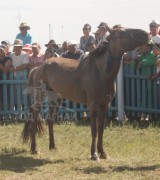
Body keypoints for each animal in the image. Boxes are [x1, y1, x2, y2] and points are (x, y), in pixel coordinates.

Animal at [21, 27, 149, 161]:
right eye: (122, 32)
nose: (146, 34)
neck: (100, 72)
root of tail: (38, 67)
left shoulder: (105, 106)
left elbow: (101, 129)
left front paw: (103, 153)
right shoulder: (93, 106)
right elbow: (94, 130)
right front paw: (94, 154)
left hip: (56, 100)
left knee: (50, 120)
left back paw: (53, 146)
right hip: (40, 98)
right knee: (35, 118)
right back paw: (35, 148)